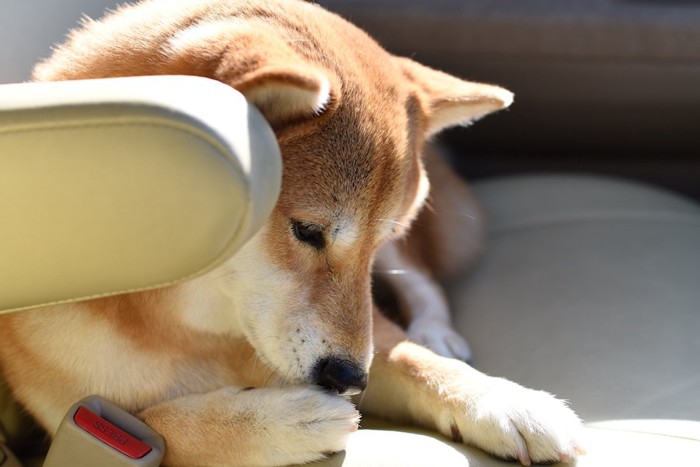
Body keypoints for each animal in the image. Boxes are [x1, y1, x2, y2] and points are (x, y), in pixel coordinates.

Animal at [0, 0, 584, 466]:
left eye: (374, 244)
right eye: (307, 231)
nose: (350, 380)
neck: (197, 327)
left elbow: (412, 361)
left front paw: (509, 402)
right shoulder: (66, 410)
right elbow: (161, 425)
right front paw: (282, 420)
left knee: (424, 282)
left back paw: (434, 331)